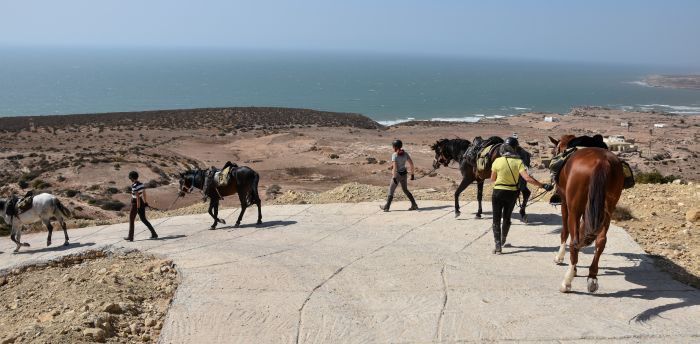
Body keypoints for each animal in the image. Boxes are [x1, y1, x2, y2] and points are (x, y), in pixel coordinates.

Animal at [548, 135, 628, 292]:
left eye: (555, 150)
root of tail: (602, 162)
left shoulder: (565, 204)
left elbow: (565, 232)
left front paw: (560, 258)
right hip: (607, 209)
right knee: (601, 241)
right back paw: (592, 277)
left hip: (575, 208)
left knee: (574, 241)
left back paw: (567, 281)